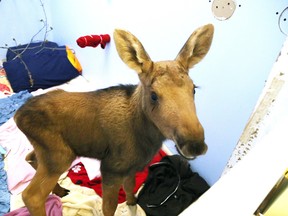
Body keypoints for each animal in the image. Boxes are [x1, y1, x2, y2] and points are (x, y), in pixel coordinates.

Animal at [14, 23, 214, 216]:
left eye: (193, 88)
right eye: (154, 95)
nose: (195, 144)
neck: (146, 138)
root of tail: (17, 116)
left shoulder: (131, 168)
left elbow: (130, 188)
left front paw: (133, 203)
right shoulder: (111, 168)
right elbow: (109, 207)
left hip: (45, 151)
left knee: (30, 157)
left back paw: (60, 190)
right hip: (59, 155)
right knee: (31, 195)